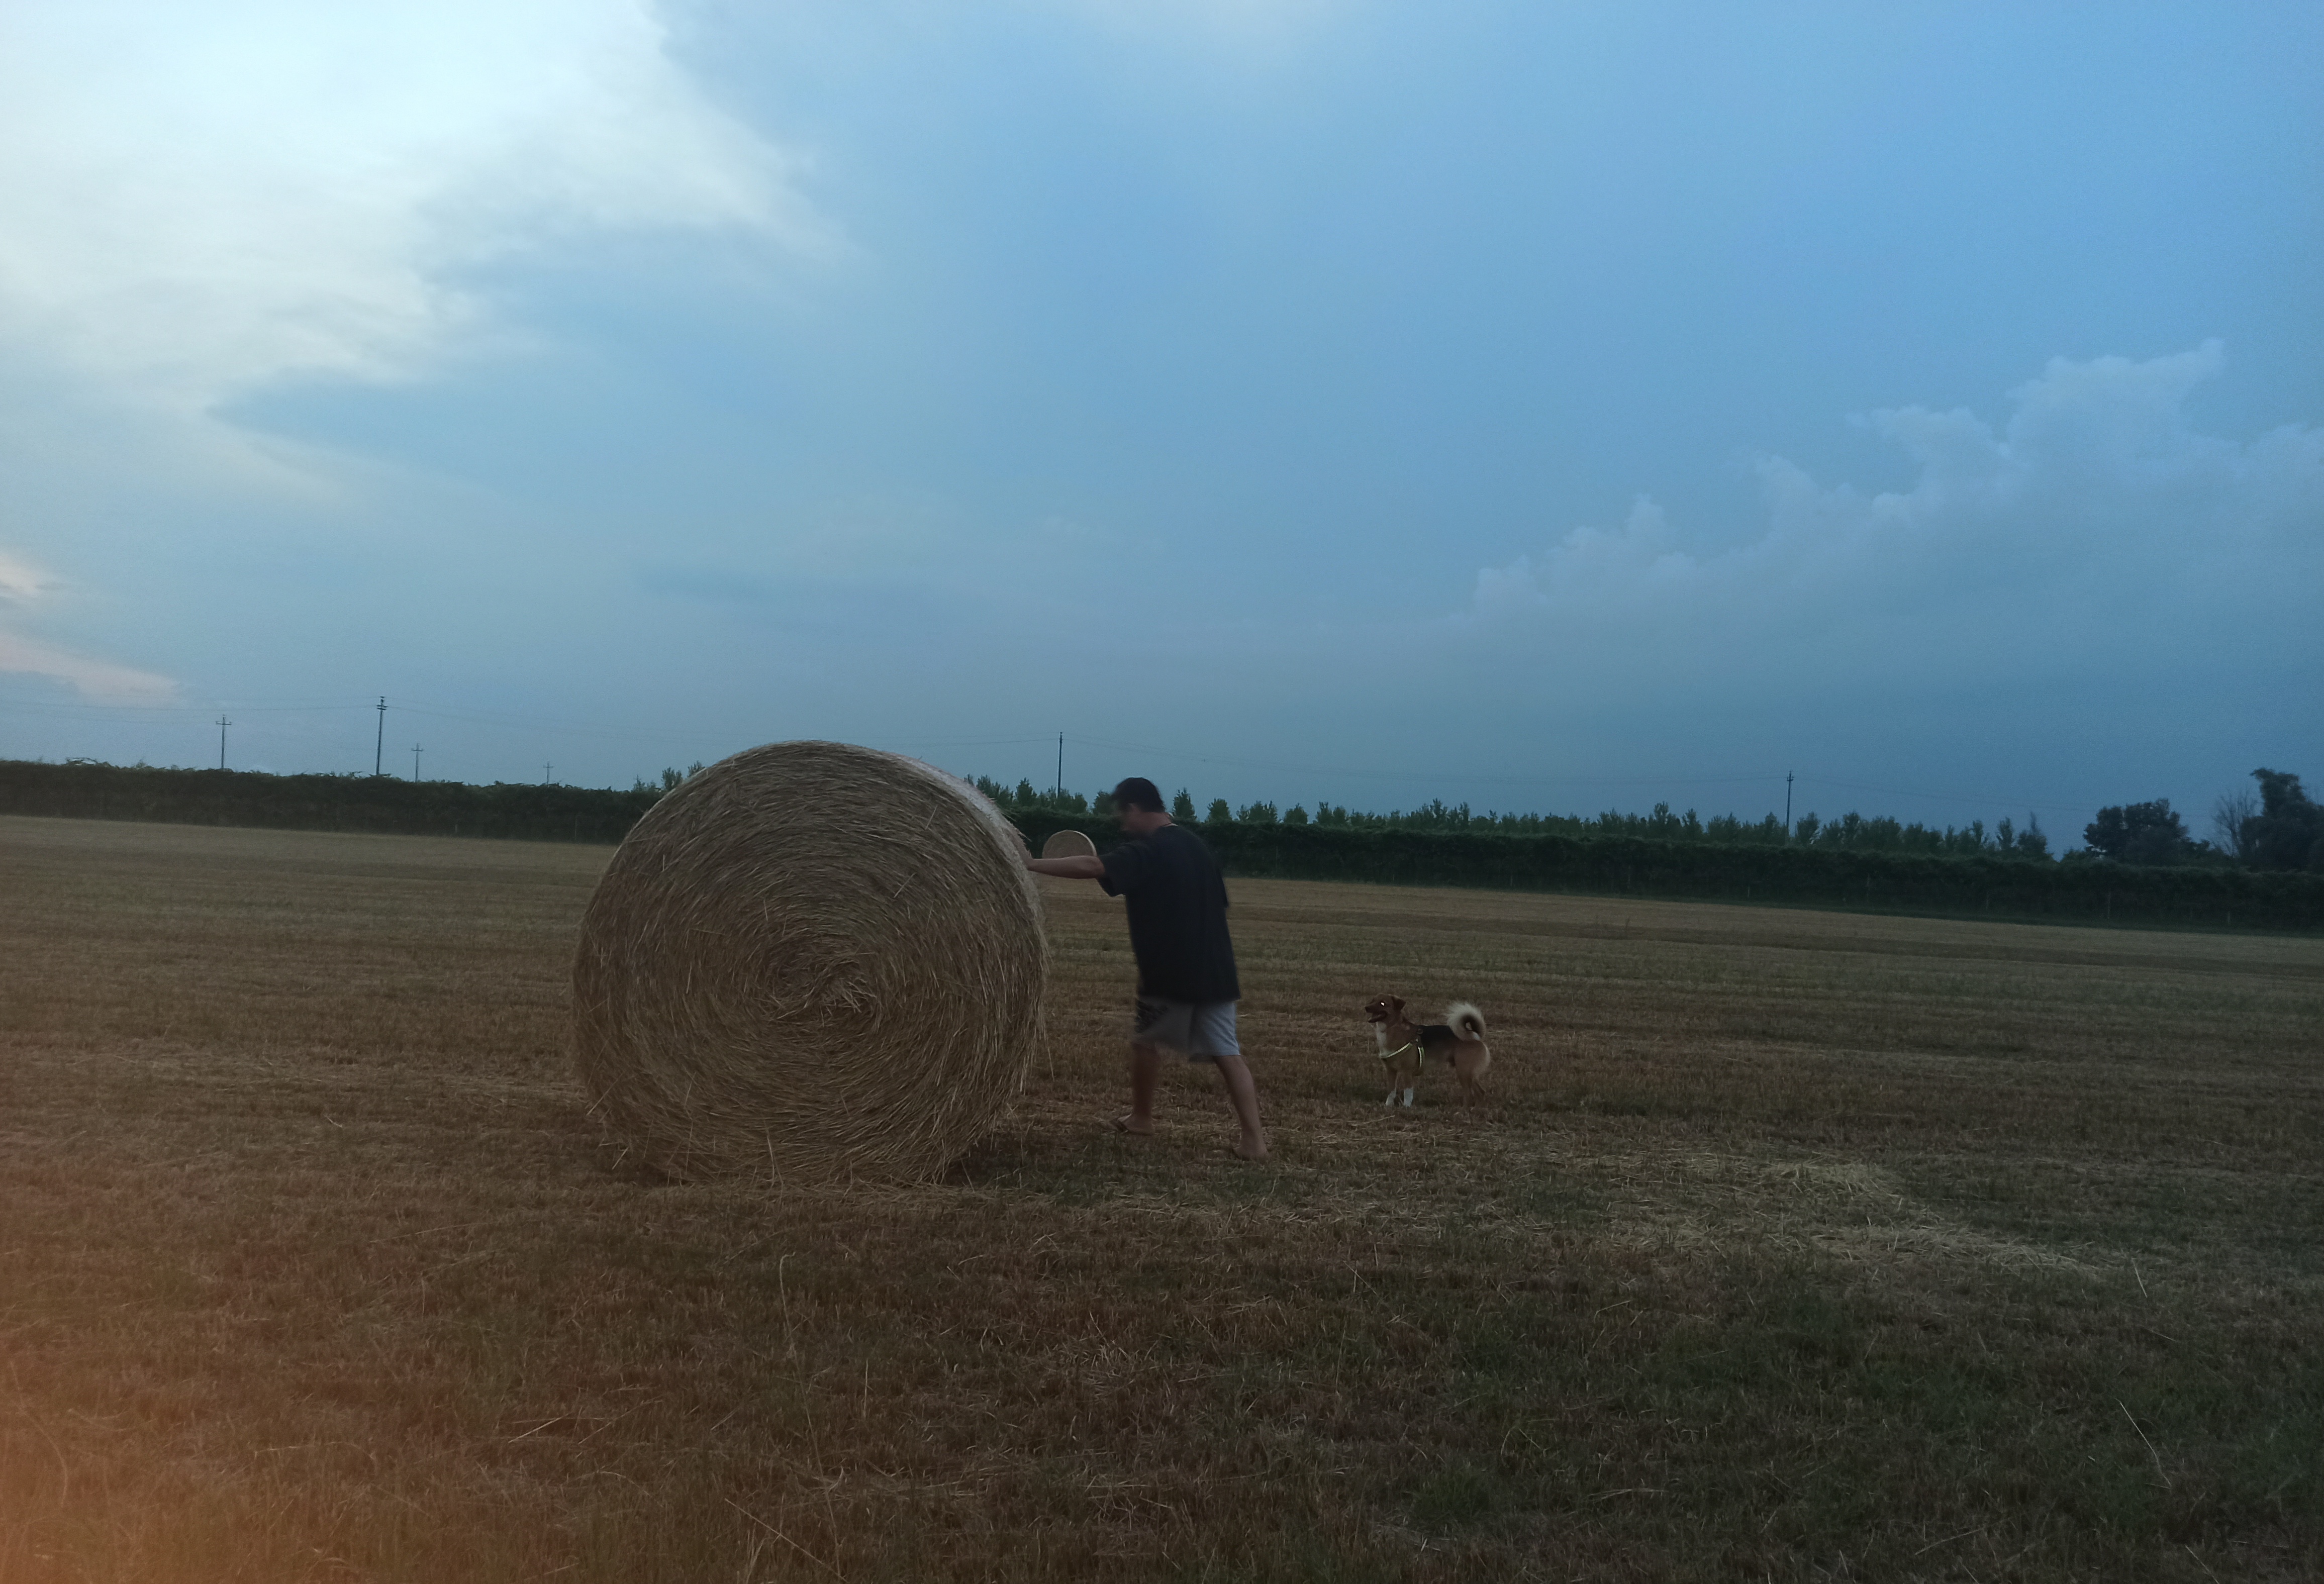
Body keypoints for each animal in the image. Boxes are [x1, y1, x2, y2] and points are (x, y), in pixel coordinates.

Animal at [1357, 994, 1487, 1105]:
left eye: (1382, 1003)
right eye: (1373, 1001)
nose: (1366, 1008)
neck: (1392, 1029)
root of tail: (1475, 1036)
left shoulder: (1407, 1072)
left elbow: (1408, 1093)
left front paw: (1406, 1107)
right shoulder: (1391, 1071)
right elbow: (1391, 1091)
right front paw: (1388, 1106)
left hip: (1464, 1072)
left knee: (1472, 1094)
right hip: (1467, 1074)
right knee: (1478, 1093)